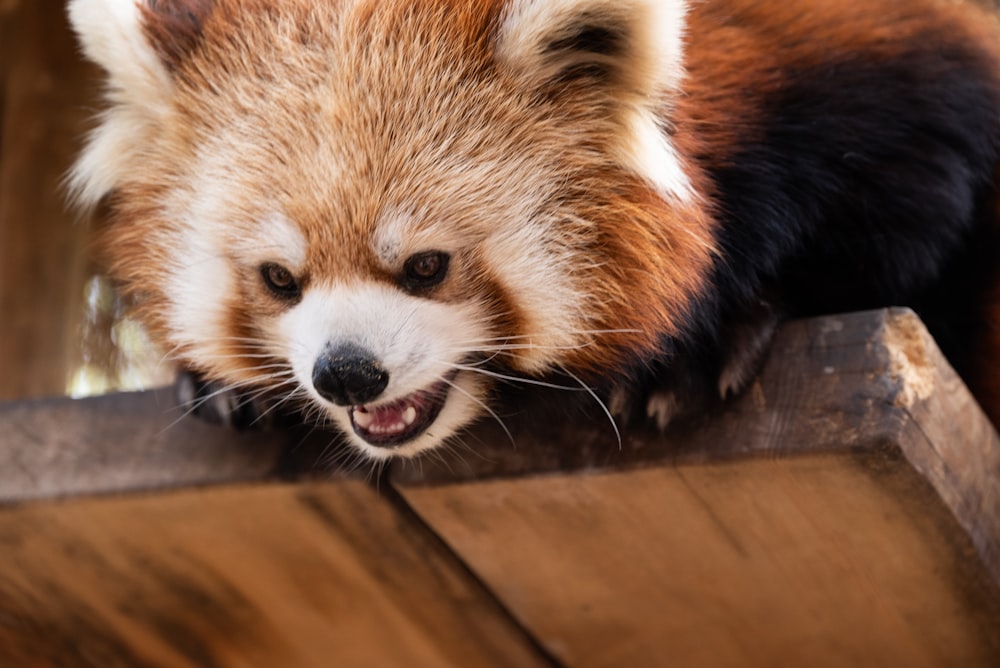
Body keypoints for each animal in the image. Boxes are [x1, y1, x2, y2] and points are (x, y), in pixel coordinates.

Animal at [66, 0, 1000, 460]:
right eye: (278, 279)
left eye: (428, 267)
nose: (347, 374)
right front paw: (220, 381)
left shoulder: (880, 75)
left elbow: (914, 218)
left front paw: (704, 341)